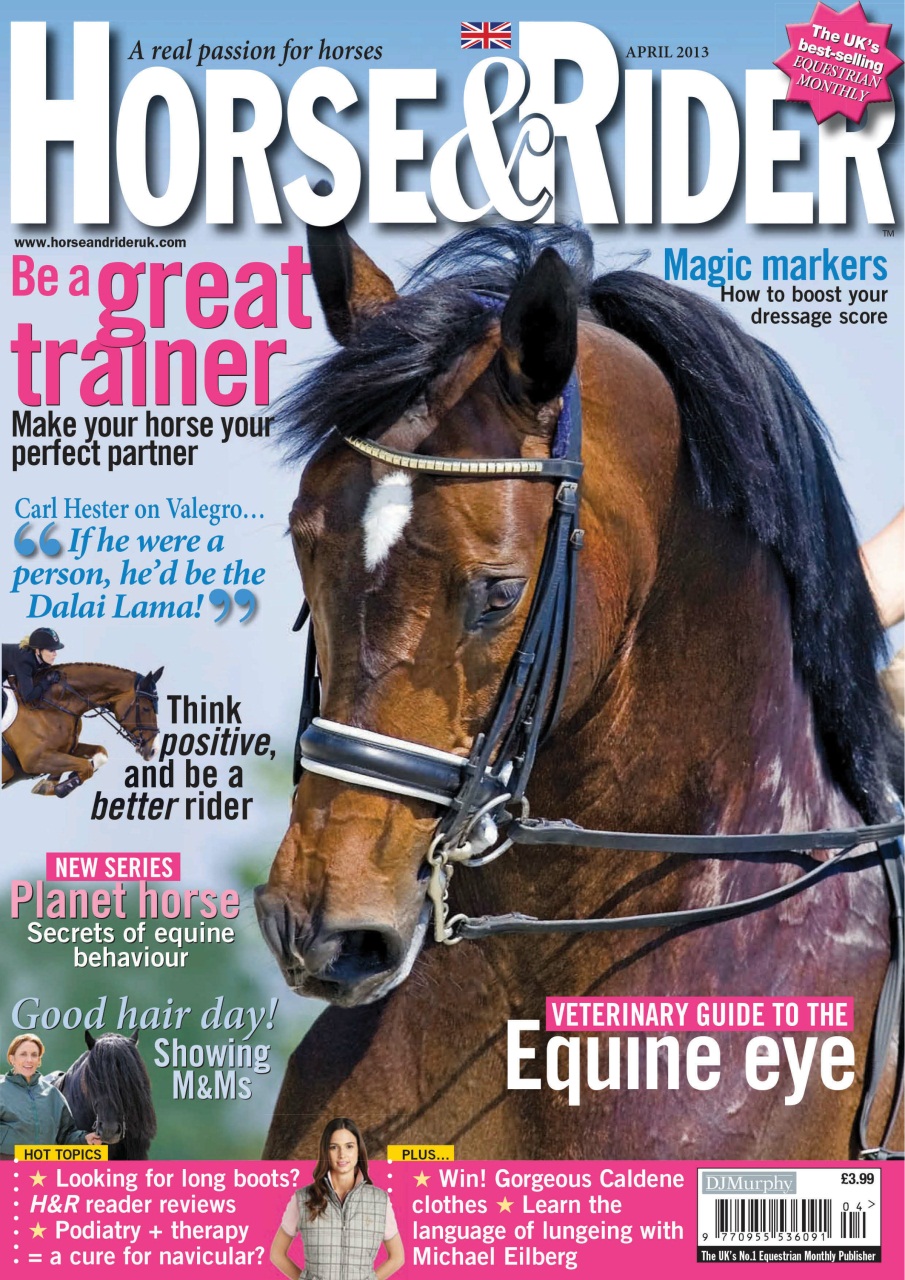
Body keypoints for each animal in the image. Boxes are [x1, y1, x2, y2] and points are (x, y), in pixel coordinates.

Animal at [2, 663, 163, 797]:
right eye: (146, 708)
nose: (154, 750)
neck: (50, 705)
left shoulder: (68, 749)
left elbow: (101, 754)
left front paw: (51, 783)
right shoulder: (35, 760)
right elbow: (85, 766)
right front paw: (62, 787)